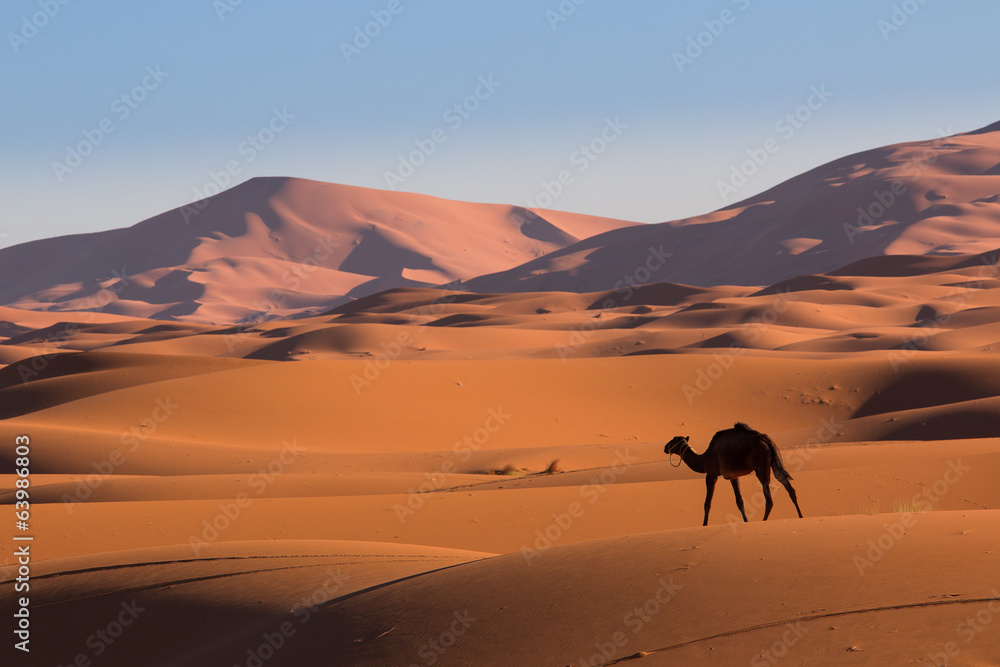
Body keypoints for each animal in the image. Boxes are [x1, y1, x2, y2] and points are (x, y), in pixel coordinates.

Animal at [664, 423, 803, 526]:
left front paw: (704, 525)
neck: (703, 460)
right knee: (787, 485)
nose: (665, 447)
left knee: (768, 497)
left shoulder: (711, 474)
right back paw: (801, 516)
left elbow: (707, 503)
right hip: (774, 460)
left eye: (672, 441)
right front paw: (746, 521)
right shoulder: (733, 476)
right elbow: (739, 501)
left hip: (761, 462)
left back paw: (763, 521)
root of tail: (764, 438)